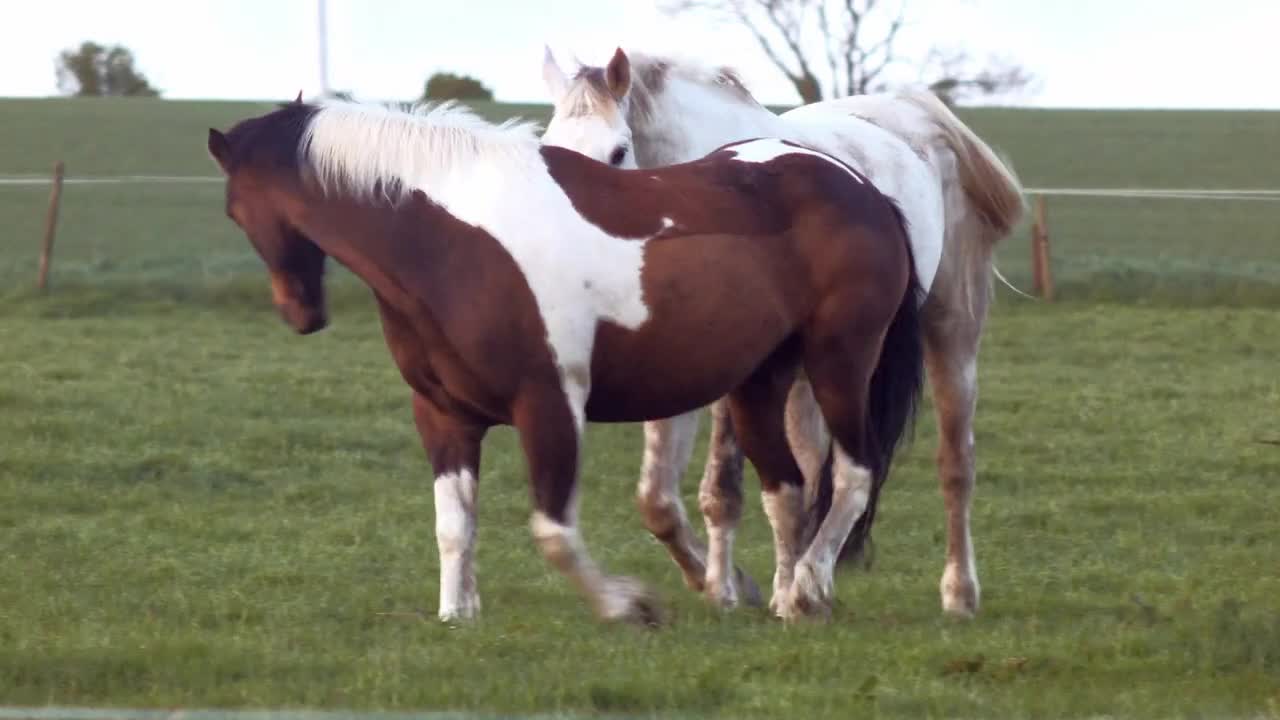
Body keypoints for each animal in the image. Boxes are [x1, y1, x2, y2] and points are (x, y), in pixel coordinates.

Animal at [209, 95, 926, 622]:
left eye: (233, 208)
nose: (302, 313)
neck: (450, 241)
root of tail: (862, 188)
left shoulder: (549, 404)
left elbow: (553, 532)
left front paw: (628, 605)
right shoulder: (443, 415)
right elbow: (453, 523)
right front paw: (457, 614)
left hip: (839, 363)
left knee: (854, 474)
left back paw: (808, 587)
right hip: (757, 384)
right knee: (786, 488)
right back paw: (784, 601)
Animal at [542, 46, 1029, 617]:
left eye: (618, 152)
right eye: (549, 150)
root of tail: (919, 113)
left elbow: (722, 490)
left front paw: (727, 588)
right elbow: (659, 500)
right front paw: (729, 583)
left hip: (950, 332)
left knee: (955, 464)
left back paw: (957, 592)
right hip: (806, 381)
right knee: (815, 471)